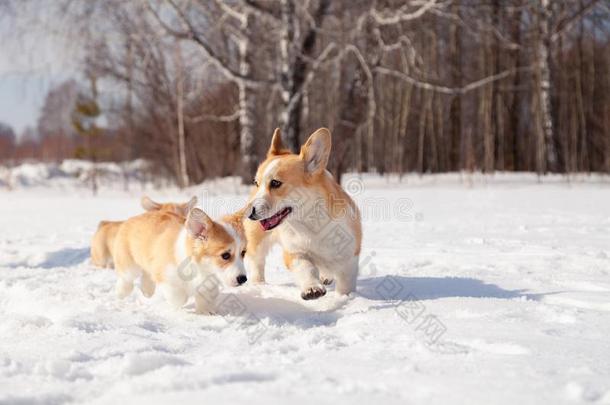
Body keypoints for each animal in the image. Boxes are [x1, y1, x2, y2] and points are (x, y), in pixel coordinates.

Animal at [113, 208, 246, 312]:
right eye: (225, 255)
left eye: (243, 253)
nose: (243, 279)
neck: (200, 269)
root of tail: (130, 219)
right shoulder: (167, 277)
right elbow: (180, 298)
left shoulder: (209, 285)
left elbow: (205, 298)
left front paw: (206, 313)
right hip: (130, 267)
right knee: (126, 280)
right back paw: (121, 294)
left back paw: (147, 291)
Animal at [242, 128, 358, 298]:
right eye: (257, 183)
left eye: (275, 183)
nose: (248, 212)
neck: (311, 224)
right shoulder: (295, 251)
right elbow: (306, 268)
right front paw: (312, 289)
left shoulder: (349, 260)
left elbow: (345, 284)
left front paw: (343, 298)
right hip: (257, 241)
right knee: (257, 261)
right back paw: (259, 284)